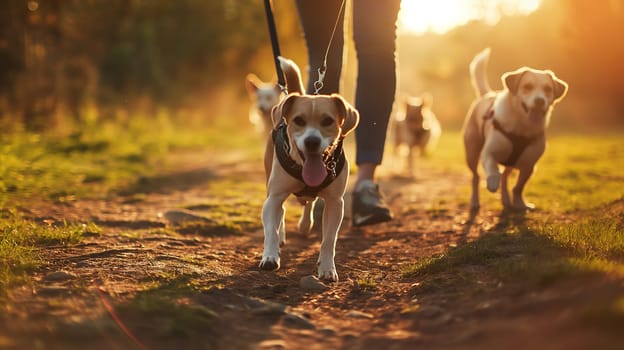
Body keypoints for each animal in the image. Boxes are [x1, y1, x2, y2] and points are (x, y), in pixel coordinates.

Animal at [258, 56, 358, 282]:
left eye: (328, 121)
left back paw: (305, 224)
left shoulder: (335, 203)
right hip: (271, 186)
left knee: (307, 203)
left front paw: (327, 268)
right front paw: (270, 256)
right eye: (298, 120)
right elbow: (271, 230)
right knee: (281, 213)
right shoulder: (273, 198)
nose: (312, 141)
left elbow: (329, 239)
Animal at [460, 48, 568, 212]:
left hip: (511, 162)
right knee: (476, 177)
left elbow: (518, 187)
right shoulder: (488, 153)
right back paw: (474, 201)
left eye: (548, 89)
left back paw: (506, 200)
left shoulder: (529, 165)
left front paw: (519, 203)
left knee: (505, 176)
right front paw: (493, 181)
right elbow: (493, 168)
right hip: (471, 153)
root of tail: (487, 94)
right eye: (527, 86)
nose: (539, 100)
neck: (522, 125)